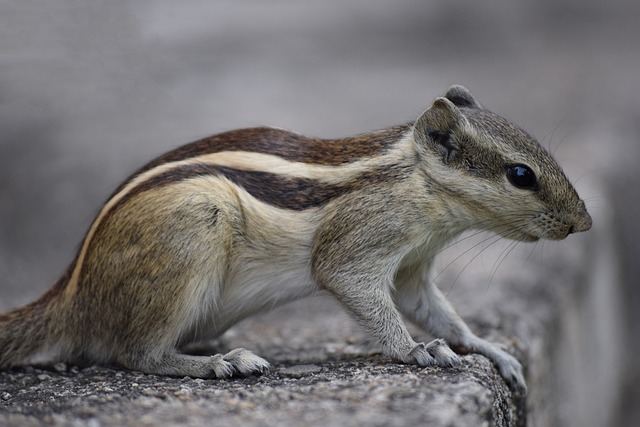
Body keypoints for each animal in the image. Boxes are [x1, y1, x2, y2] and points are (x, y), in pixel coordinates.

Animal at [0, 85, 592, 396]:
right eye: (521, 175)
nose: (583, 224)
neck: (418, 179)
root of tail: (73, 295)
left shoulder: (412, 268)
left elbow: (437, 312)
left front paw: (489, 349)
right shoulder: (360, 240)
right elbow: (353, 284)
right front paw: (415, 350)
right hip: (191, 229)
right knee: (134, 353)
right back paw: (220, 363)